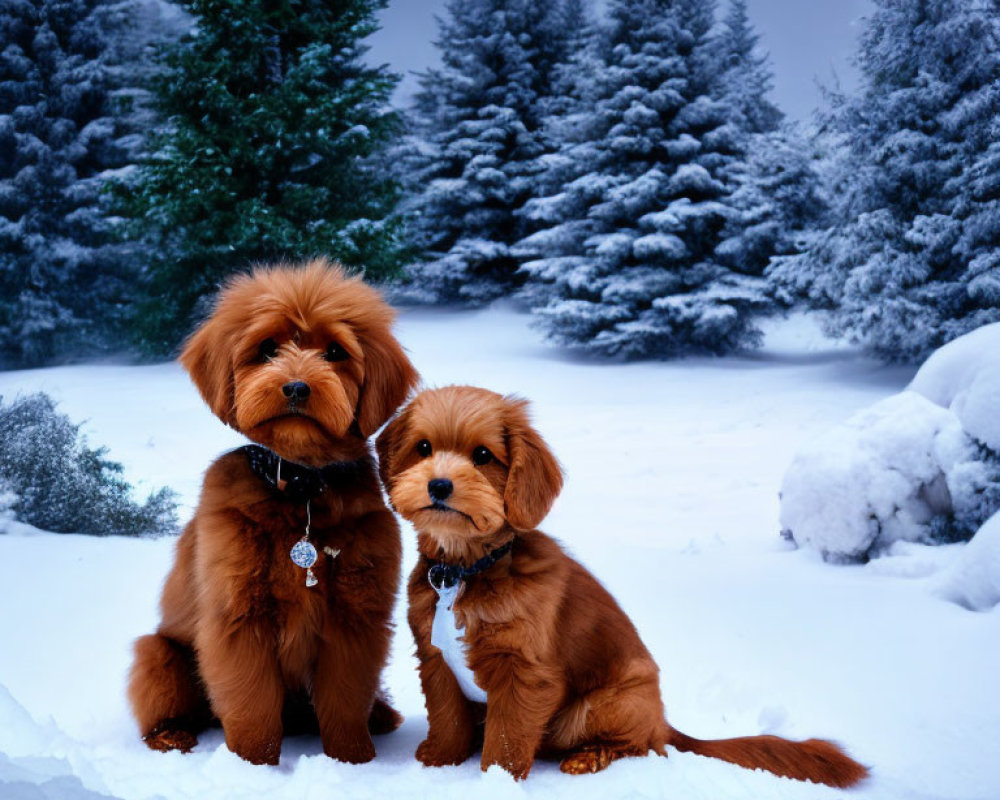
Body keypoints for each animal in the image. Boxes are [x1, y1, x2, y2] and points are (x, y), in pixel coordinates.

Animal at [128, 260, 418, 764]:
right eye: (267, 348)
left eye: (335, 351)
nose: (297, 387)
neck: (300, 489)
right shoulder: (239, 615)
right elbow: (251, 704)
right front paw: (253, 765)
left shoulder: (356, 616)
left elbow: (345, 699)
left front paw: (352, 761)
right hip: (158, 653)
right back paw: (170, 736)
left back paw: (382, 716)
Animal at [376, 388, 868, 788]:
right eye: (423, 448)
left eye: (482, 455)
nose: (439, 484)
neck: (464, 572)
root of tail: (663, 720)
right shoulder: (436, 660)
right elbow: (448, 719)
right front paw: (437, 764)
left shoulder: (526, 676)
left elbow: (506, 743)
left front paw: (493, 784)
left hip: (601, 705)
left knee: (640, 746)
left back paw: (588, 758)